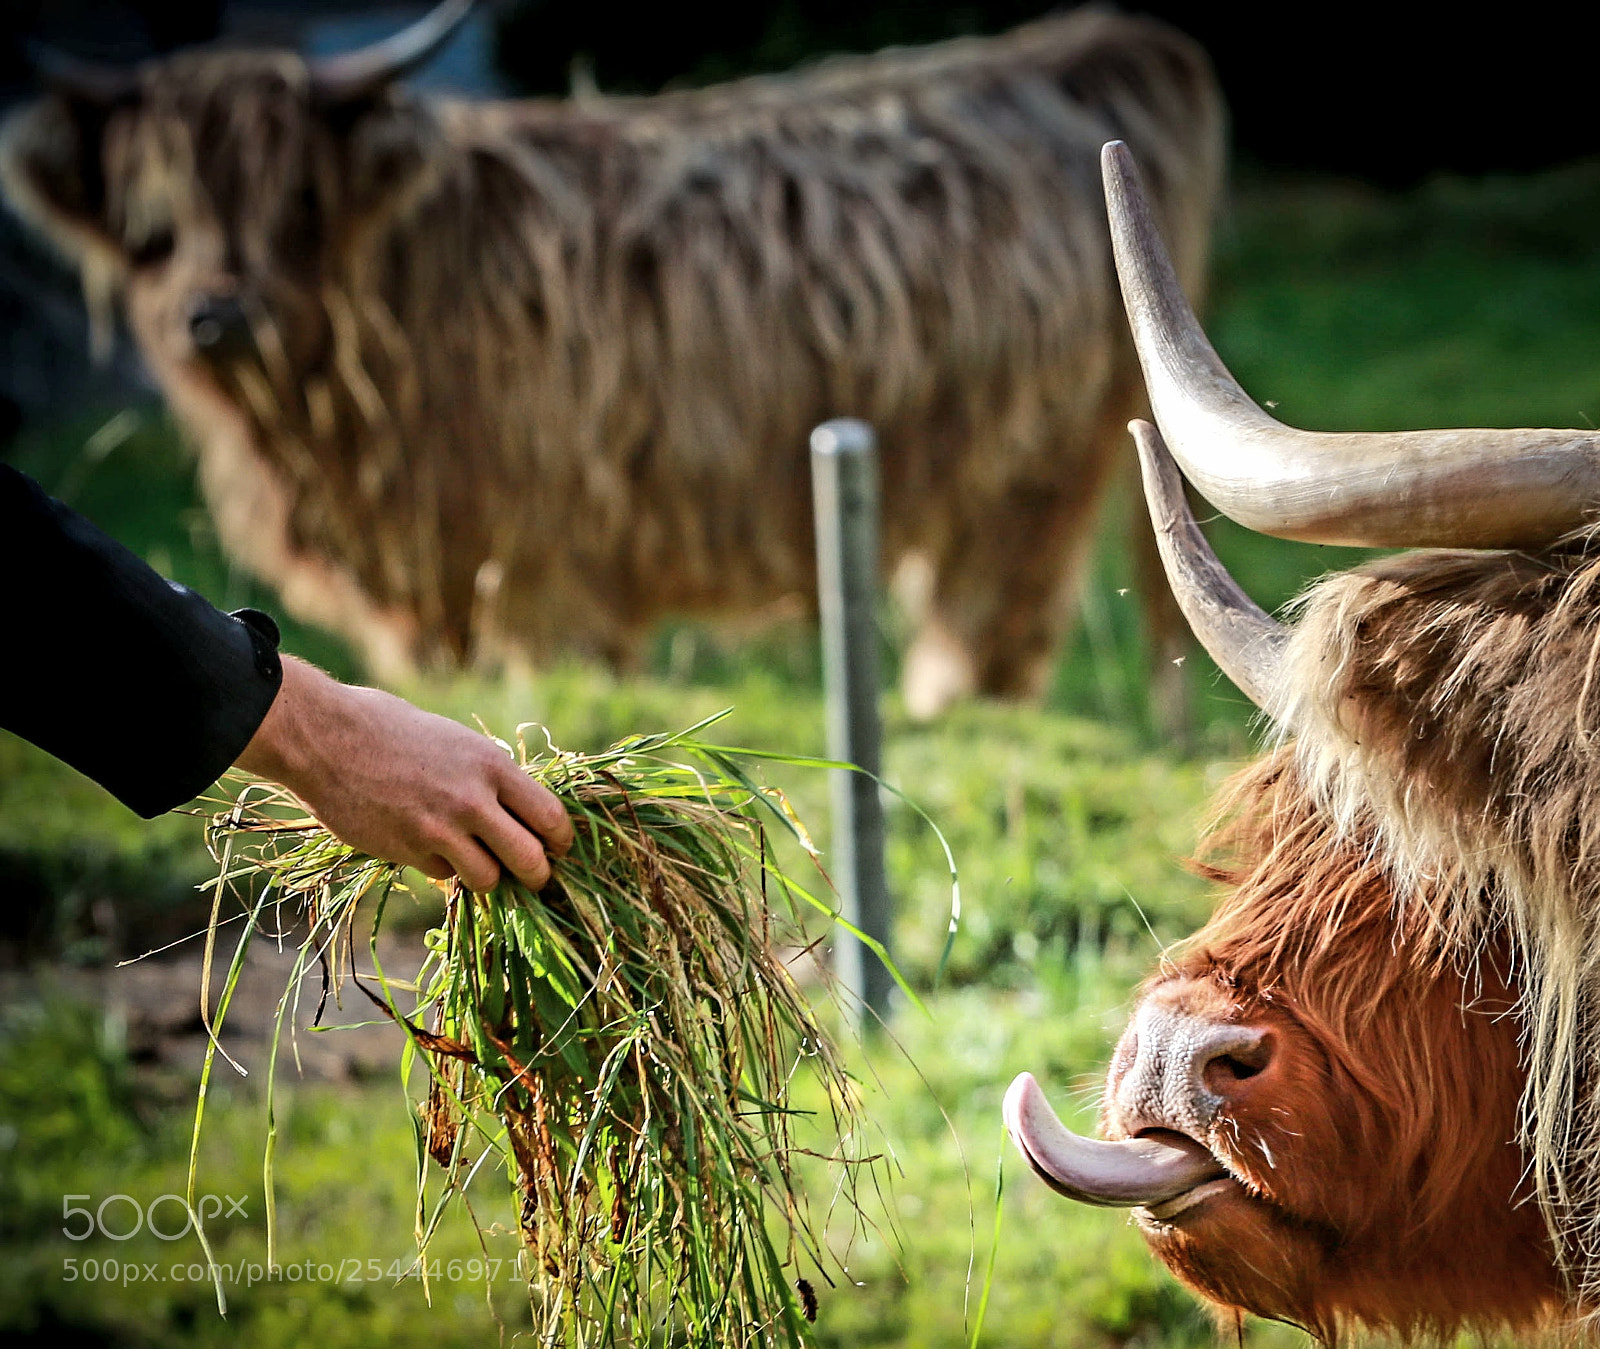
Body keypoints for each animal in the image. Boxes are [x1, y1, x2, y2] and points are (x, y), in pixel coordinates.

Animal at [0, 3, 1223, 717]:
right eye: (150, 225)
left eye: (298, 202)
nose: (214, 315)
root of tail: (1093, 45)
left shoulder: (548, 562)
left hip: (1025, 473)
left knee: (988, 629)